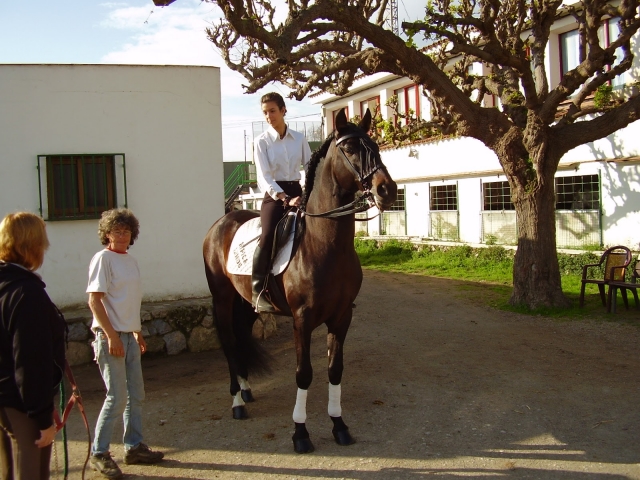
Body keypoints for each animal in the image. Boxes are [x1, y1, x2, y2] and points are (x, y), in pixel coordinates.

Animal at [202, 108, 397, 453]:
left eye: (375, 145)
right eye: (350, 149)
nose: (387, 190)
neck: (324, 244)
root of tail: (222, 221)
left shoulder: (341, 317)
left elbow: (335, 370)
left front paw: (339, 425)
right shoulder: (302, 320)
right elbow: (303, 374)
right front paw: (301, 433)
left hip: (247, 304)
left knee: (241, 335)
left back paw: (246, 388)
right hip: (222, 299)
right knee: (228, 341)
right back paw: (237, 402)